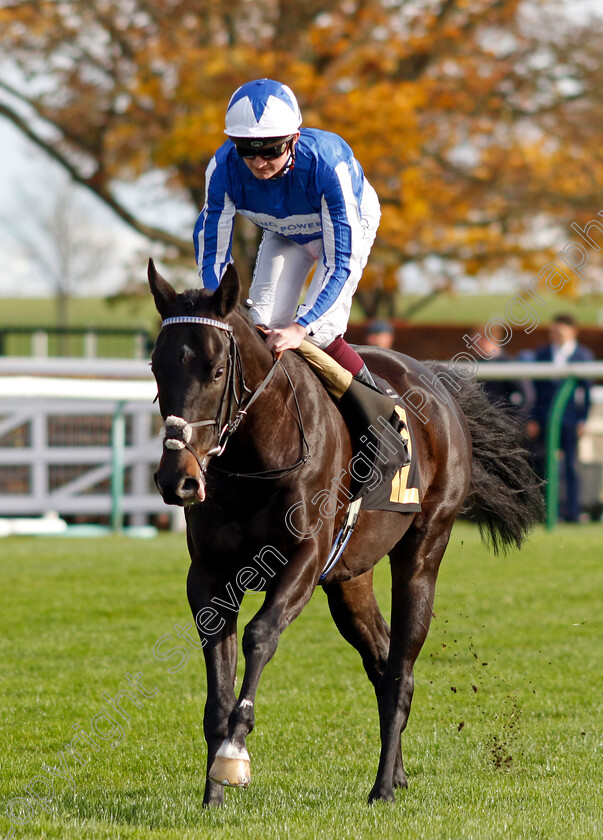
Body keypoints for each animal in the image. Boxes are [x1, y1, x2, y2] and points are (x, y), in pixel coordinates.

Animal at [149, 260, 544, 804]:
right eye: (156, 367)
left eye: (216, 370)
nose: (178, 479)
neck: (256, 456)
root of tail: (439, 386)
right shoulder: (209, 575)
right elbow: (217, 685)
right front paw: (212, 795)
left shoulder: (304, 557)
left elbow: (260, 635)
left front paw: (234, 754)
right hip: (349, 578)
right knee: (381, 658)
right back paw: (395, 773)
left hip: (423, 550)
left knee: (400, 671)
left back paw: (382, 789)